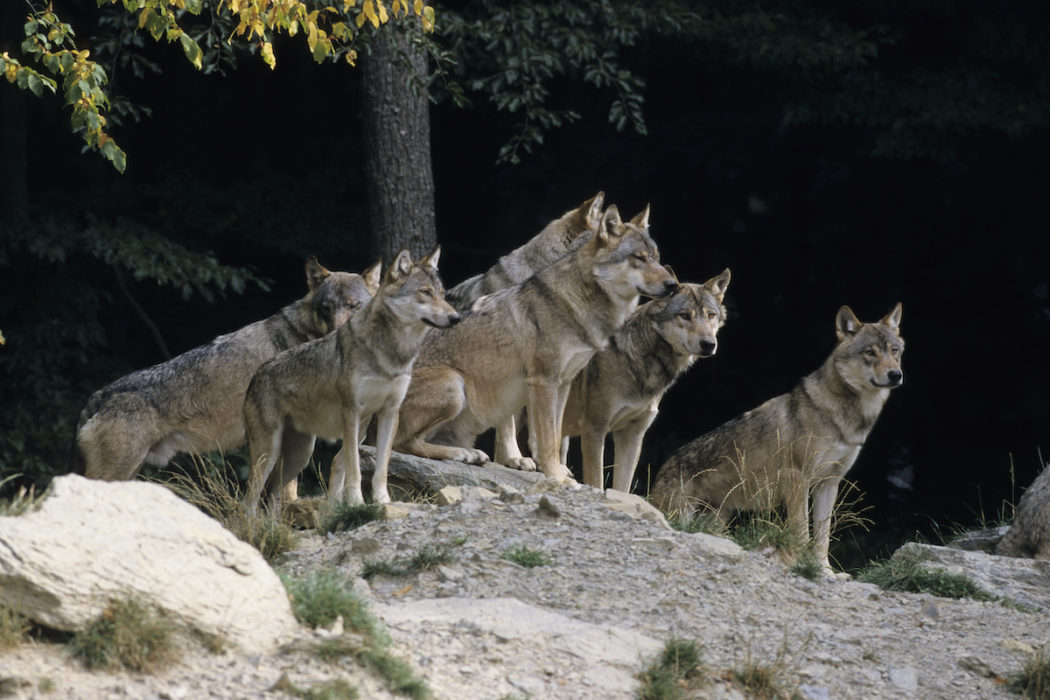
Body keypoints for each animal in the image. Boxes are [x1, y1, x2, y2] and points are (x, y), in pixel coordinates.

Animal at [242, 248, 459, 510]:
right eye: (425, 292)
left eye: (442, 294)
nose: (456, 317)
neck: (392, 354)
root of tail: (256, 374)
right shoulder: (352, 411)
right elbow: (354, 466)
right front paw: (356, 502)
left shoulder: (389, 413)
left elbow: (381, 466)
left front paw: (382, 500)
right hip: (269, 454)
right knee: (248, 501)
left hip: (299, 456)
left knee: (272, 498)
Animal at [392, 206, 678, 482]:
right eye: (639, 258)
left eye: (657, 257)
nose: (673, 285)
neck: (575, 304)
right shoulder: (543, 381)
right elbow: (546, 439)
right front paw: (556, 477)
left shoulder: (563, 383)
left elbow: (555, 436)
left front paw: (556, 471)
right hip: (454, 386)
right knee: (401, 443)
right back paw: (462, 454)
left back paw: (469, 454)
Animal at [560, 269, 731, 493]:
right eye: (685, 315)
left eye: (711, 315)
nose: (709, 344)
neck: (636, 360)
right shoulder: (594, 429)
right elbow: (596, 481)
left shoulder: (632, 436)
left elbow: (622, 487)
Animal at [650, 303, 904, 575]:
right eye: (870, 352)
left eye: (894, 351)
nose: (895, 374)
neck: (842, 416)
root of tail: (665, 464)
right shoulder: (797, 479)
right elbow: (802, 530)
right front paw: (801, 562)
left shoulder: (828, 483)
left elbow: (823, 536)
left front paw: (823, 569)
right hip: (682, 513)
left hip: (717, 518)